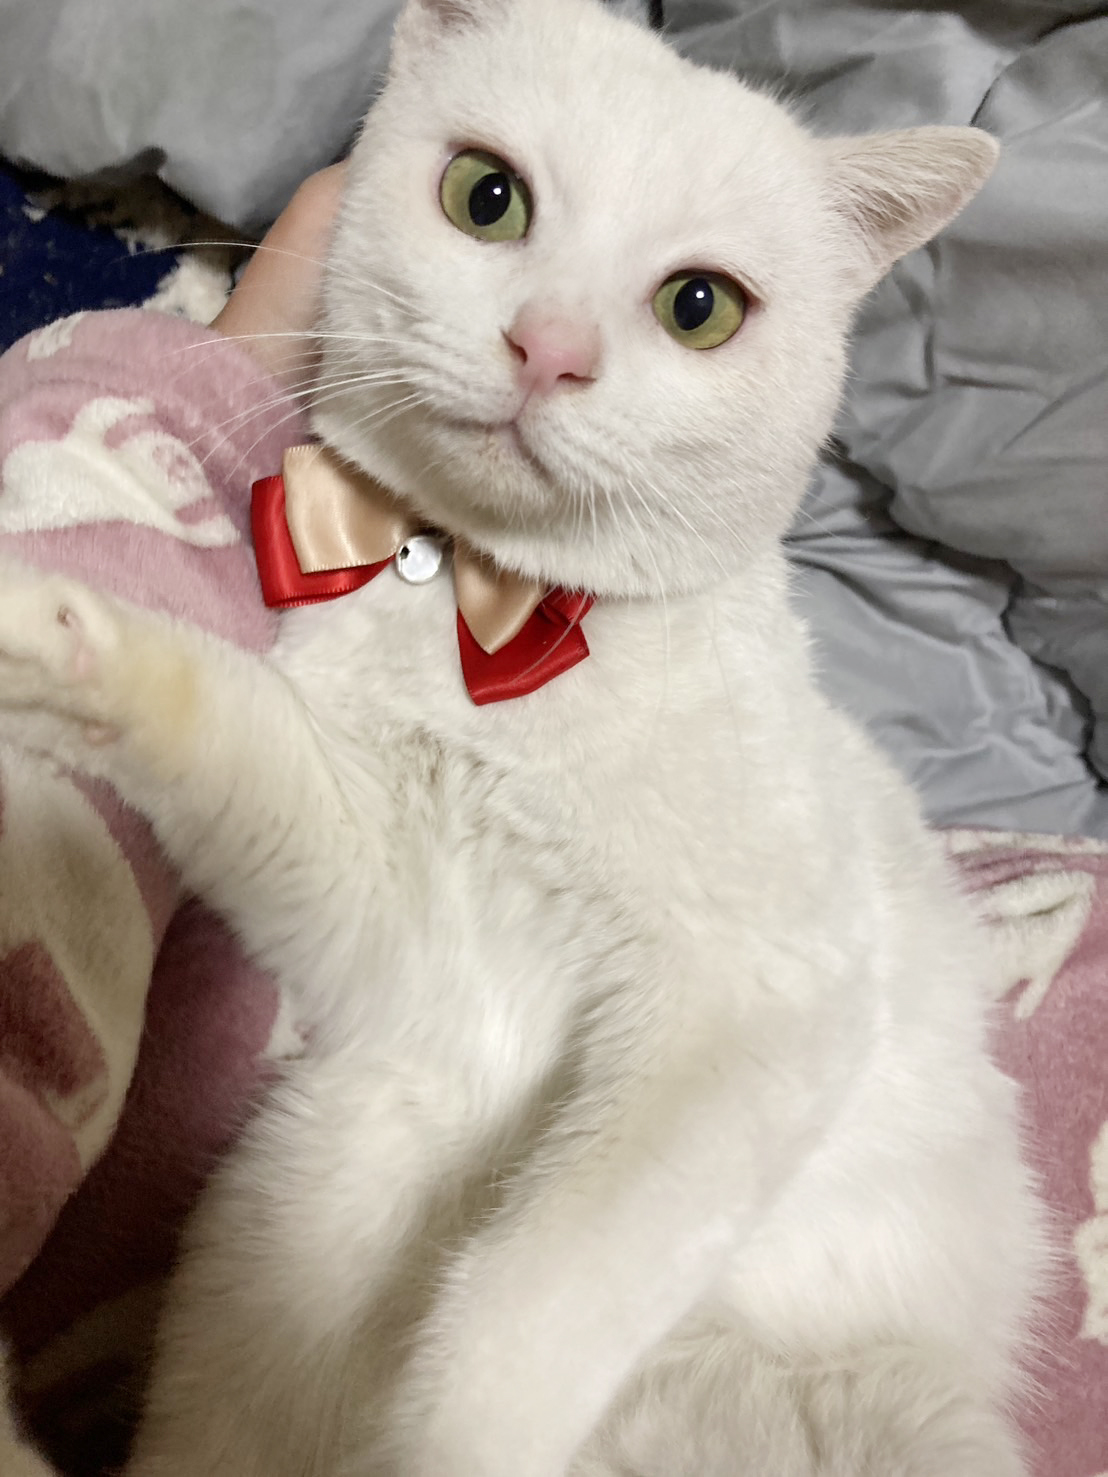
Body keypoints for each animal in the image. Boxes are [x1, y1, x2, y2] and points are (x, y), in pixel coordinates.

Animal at [0, 0, 1045, 1473]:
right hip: (290, 1202)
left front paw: (451, 1433)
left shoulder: (759, 1006)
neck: (478, 615)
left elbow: (533, 1299)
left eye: (700, 307)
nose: (548, 347)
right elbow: (235, 733)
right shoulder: (408, 949)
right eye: (484, 198)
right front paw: (54, 634)